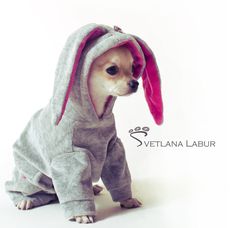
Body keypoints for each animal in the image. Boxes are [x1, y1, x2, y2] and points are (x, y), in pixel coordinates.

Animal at [5, 24, 162, 224]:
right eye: (112, 70)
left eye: (134, 68)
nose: (135, 83)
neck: (95, 116)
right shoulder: (70, 158)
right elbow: (76, 183)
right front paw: (81, 214)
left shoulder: (113, 150)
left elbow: (118, 176)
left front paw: (127, 199)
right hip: (31, 178)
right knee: (15, 187)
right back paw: (25, 200)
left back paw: (92, 188)